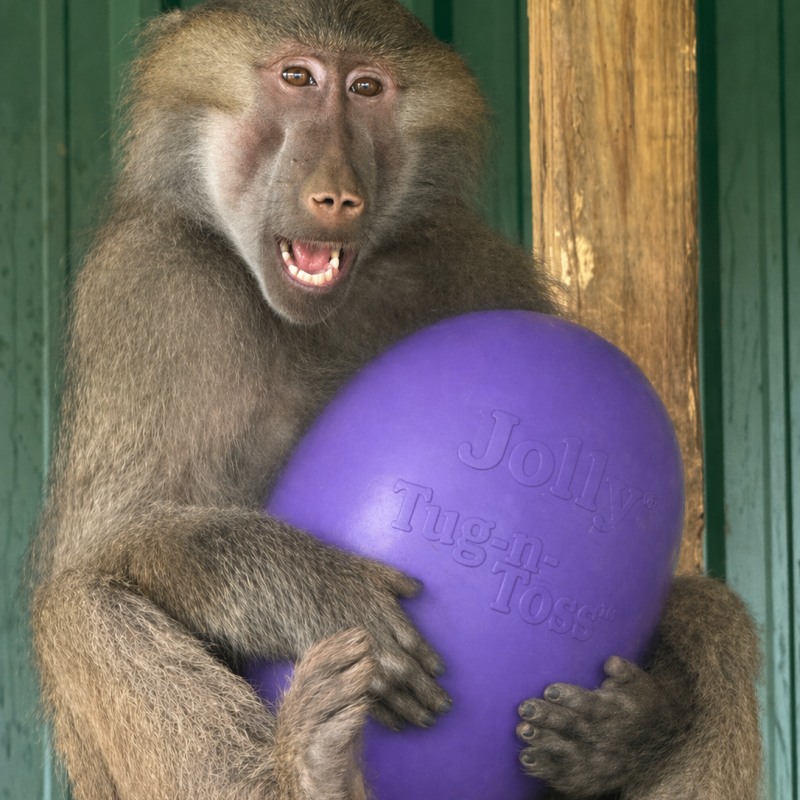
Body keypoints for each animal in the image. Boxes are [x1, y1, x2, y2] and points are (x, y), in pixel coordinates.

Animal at [27, 0, 762, 798]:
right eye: (297, 77)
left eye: (367, 88)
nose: (337, 195)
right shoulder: (149, 283)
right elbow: (111, 536)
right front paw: (319, 594)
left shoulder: (474, 267)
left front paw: (636, 723)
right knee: (83, 605)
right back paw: (315, 768)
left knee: (712, 613)